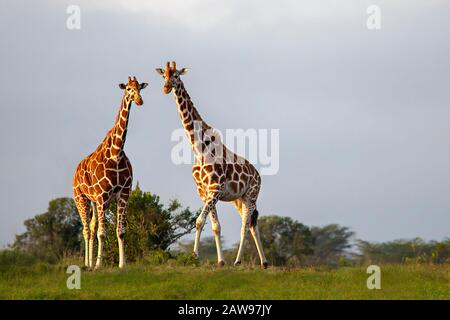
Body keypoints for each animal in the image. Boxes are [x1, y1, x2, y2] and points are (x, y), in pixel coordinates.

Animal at [71, 76, 147, 268]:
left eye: (139, 88)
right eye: (128, 88)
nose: (139, 100)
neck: (116, 153)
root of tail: (75, 172)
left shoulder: (123, 194)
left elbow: (120, 231)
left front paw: (122, 264)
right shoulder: (102, 196)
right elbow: (102, 233)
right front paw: (99, 265)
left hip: (93, 202)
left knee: (91, 227)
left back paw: (90, 263)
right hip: (81, 198)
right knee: (86, 230)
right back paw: (88, 264)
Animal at [156, 60, 268, 268]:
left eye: (176, 75)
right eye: (163, 75)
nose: (166, 88)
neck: (198, 148)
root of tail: (258, 174)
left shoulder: (215, 189)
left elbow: (199, 221)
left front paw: (194, 256)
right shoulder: (204, 192)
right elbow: (215, 226)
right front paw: (220, 261)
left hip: (251, 196)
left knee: (245, 226)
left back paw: (238, 261)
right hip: (238, 199)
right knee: (252, 224)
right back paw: (264, 263)